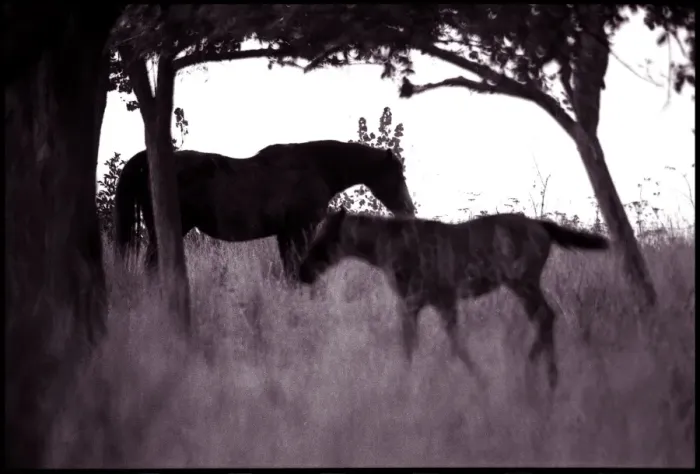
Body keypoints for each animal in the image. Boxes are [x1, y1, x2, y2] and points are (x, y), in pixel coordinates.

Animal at [113, 140, 416, 280]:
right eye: (397, 174)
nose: (408, 209)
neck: (316, 168)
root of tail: (145, 161)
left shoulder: (286, 233)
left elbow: (289, 267)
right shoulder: (301, 229)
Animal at [298, 209, 610, 390]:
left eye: (326, 238)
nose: (303, 271)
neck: (384, 249)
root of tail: (542, 227)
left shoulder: (425, 299)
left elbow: (429, 345)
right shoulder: (432, 302)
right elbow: (443, 344)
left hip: (523, 281)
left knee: (544, 316)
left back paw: (536, 373)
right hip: (524, 284)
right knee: (545, 317)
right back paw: (542, 375)